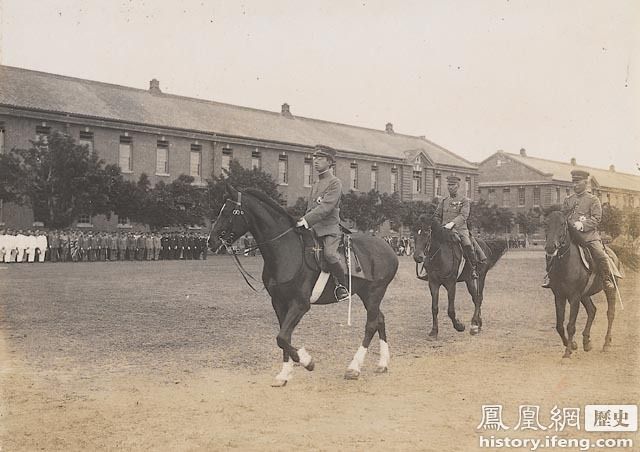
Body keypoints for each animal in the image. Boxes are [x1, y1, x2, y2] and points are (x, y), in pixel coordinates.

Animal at [208, 184, 398, 384]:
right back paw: (382, 363)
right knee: (380, 320)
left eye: (228, 212)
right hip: (366, 294)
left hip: (375, 293)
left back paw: (354, 367)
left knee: (371, 324)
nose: (210, 241)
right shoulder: (279, 302)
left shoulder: (300, 304)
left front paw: (307, 361)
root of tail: (388, 248)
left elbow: (282, 337)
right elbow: (284, 337)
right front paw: (285, 373)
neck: (286, 250)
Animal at [544, 210, 620, 358]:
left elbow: (570, 325)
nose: (550, 247)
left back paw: (606, 344)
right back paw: (586, 342)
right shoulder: (559, 296)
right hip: (584, 295)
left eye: (562, 224)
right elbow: (559, 325)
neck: (565, 264)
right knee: (592, 310)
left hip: (610, 289)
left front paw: (568, 352)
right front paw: (573, 345)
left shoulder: (574, 297)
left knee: (610, 313)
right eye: (546, 224)